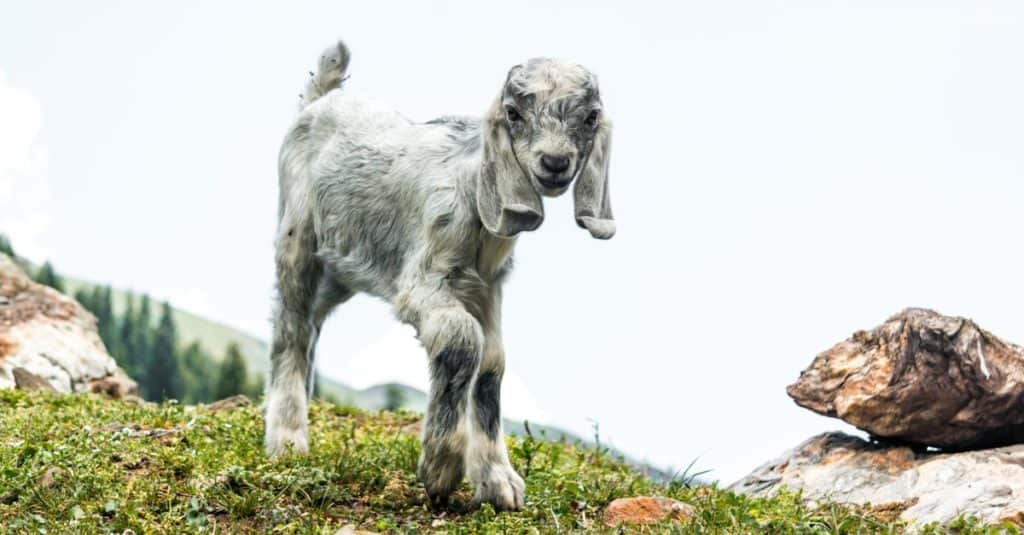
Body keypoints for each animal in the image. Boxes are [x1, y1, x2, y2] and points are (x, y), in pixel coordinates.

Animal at [266, 40, 614, 508]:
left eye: (591, 116)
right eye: (513, 112)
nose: (555, 162)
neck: (472, 186)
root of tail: (322, 96)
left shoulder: (487, 286)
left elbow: (492, 364)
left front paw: (498, 480)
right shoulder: (424, 279)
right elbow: (462, 340)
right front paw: (441, 468)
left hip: (343, 264)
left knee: (311, 326)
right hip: (297, 236)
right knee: (291, 325)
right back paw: (287, 440)